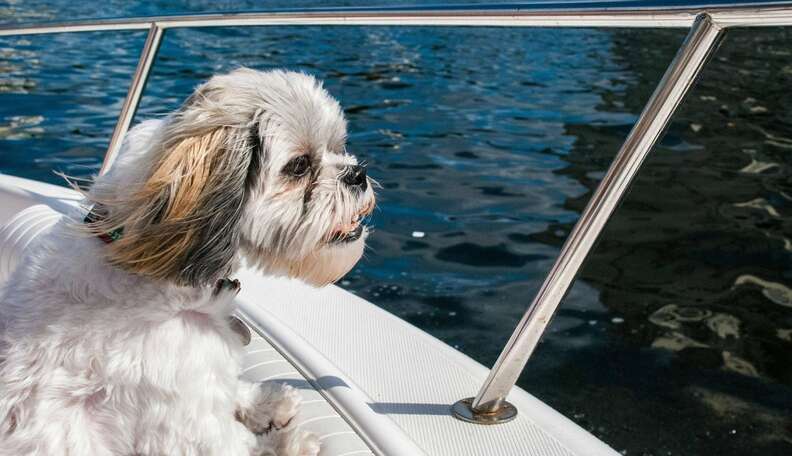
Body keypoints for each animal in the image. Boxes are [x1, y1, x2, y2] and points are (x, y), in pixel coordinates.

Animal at [0, 68, 376, 456]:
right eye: (299, 165)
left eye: (339, 146)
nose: (357, 173)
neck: (147, 263)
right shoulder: (187, 421)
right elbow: (239, 444)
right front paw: (289, 443)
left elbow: (230, 386)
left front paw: (264, 402)